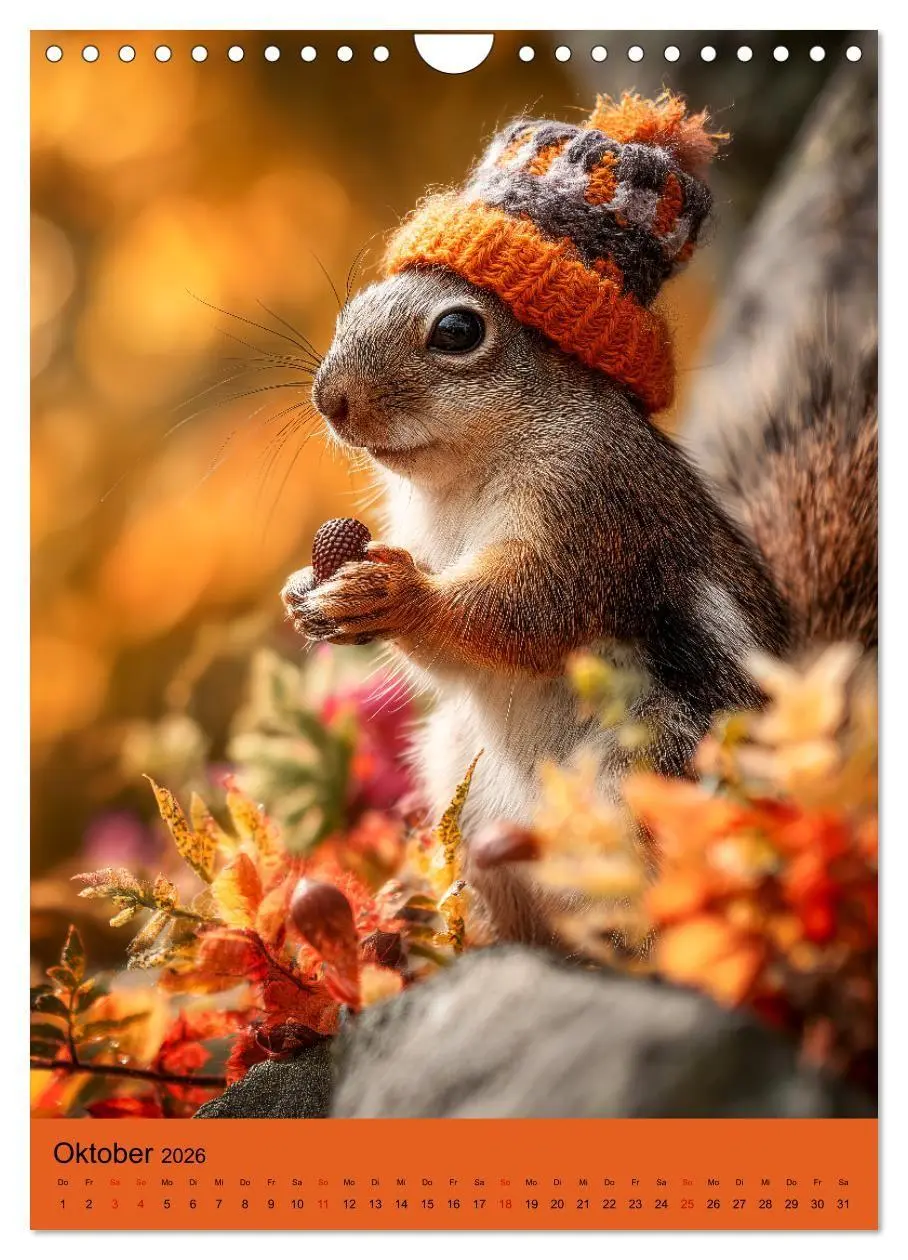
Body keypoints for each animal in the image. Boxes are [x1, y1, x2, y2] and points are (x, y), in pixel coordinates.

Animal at [281, 88, 877, 944]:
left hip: (646, 770)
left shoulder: (594, 508)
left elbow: (529, 610)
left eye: (458, 330)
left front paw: (400, 595)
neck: (461, 475)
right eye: (353, 307)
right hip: (461, 775)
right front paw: (308, 591)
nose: (331, 400)